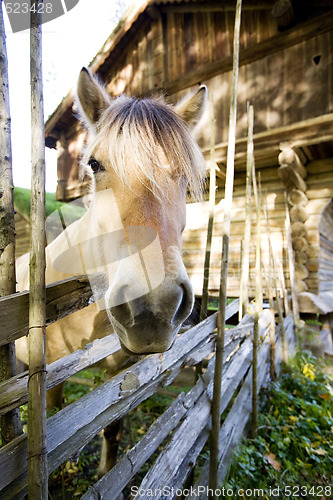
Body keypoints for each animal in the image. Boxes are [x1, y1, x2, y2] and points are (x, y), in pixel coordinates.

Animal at [16, 67, 208, 476]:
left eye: (186, 175)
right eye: (95, 164)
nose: (153, 306)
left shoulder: (122, 370)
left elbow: (112, 427)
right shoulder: (49, 376)